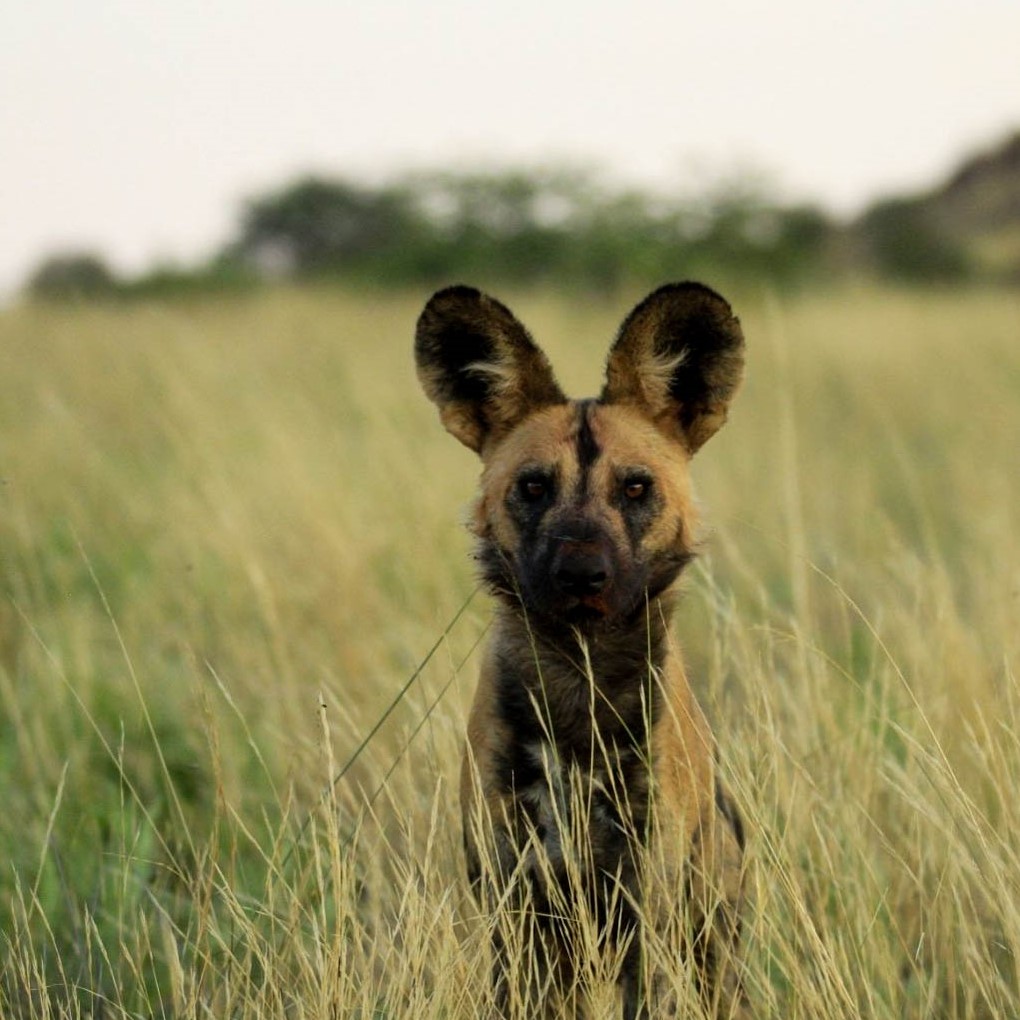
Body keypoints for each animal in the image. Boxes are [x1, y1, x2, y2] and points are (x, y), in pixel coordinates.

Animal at [416, 283, 750, 1015]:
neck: (580, 676)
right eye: (533, 487)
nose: (581, 574)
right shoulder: (520, 910)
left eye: (636, 487)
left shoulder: (647, 906)